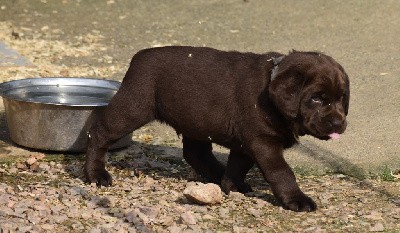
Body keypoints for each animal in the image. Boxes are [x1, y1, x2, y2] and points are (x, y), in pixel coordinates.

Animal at [84, 46, 350, 212]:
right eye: (317, 98)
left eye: (341, 98)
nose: (339, 123)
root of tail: (139, 57)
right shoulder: (263, 141)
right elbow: (282, 172)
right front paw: (297, 199)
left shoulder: (247, 142)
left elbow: (239, 165)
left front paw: (232, 185)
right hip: (133, 106)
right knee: (99, 133)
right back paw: (95, 174)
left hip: (195, 120)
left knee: (195, 153)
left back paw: (216, 176)